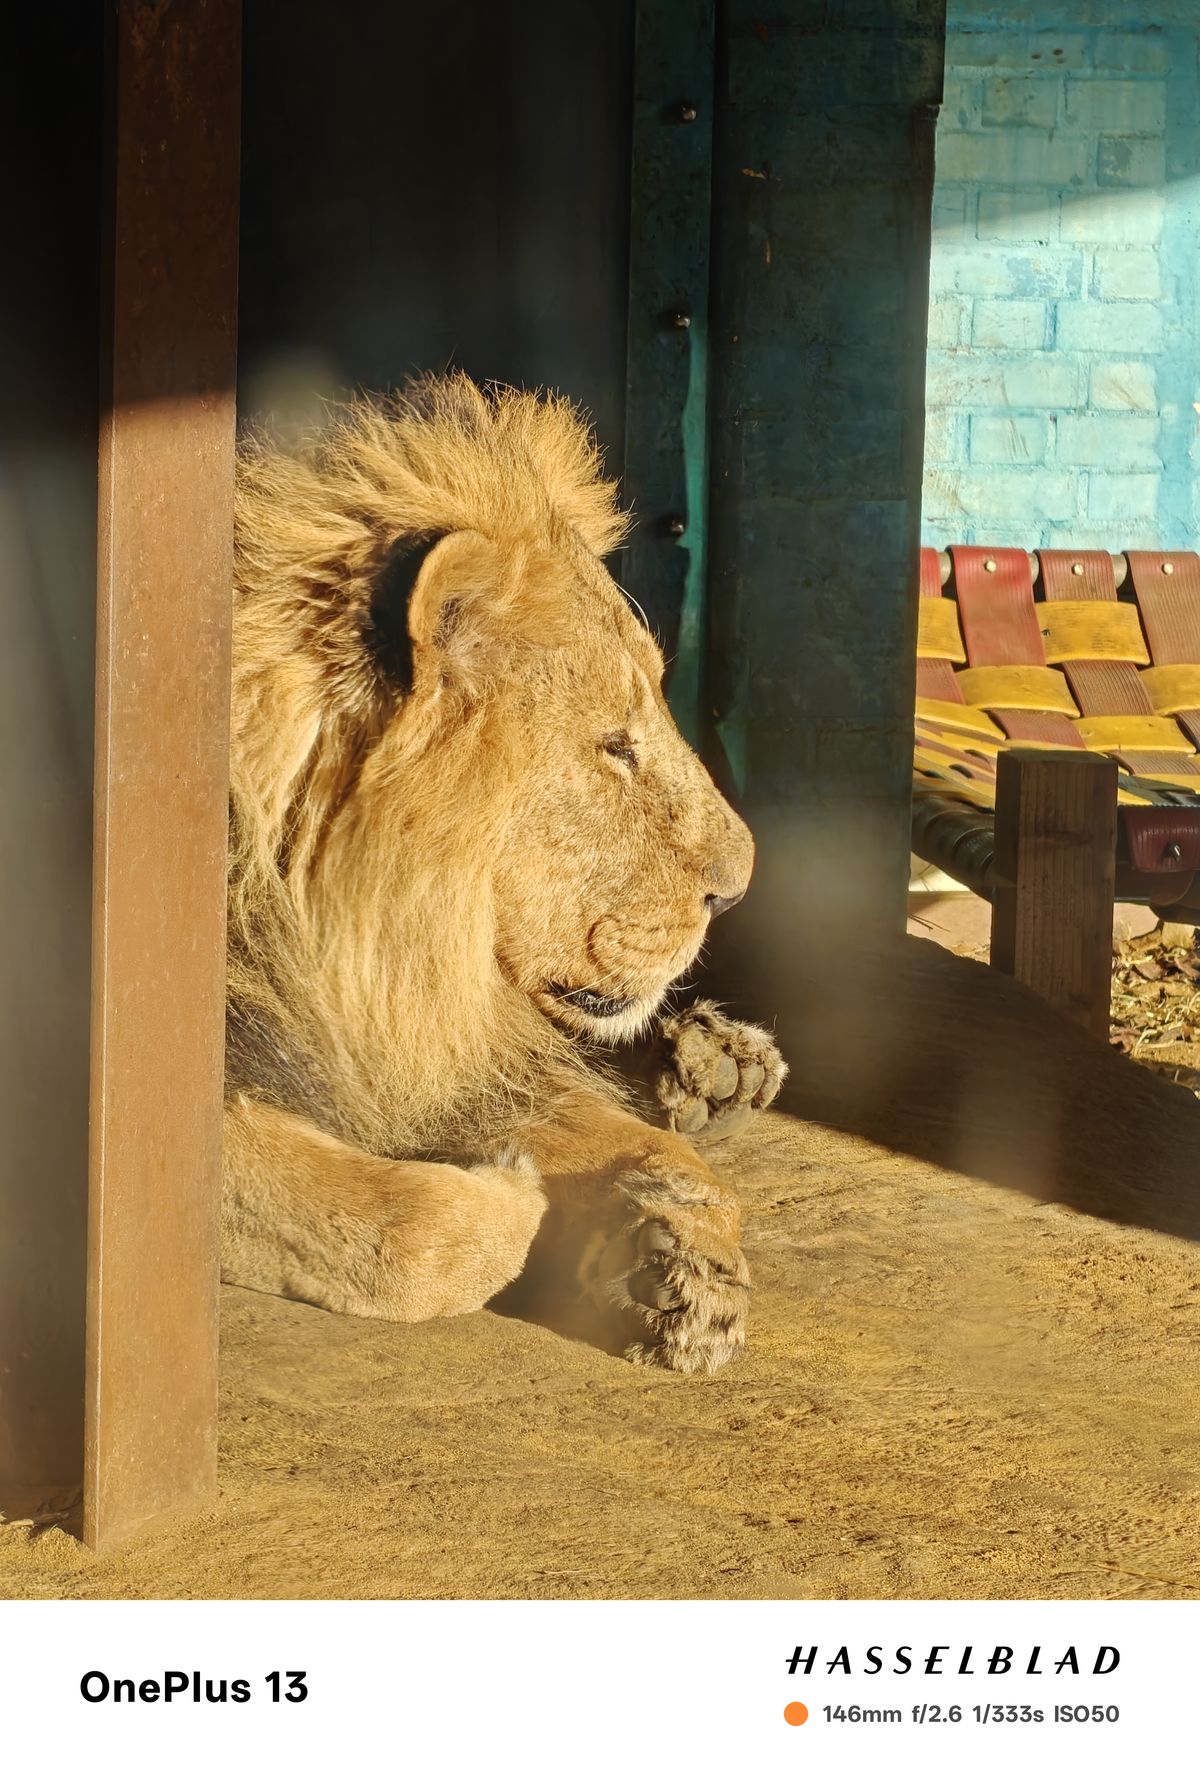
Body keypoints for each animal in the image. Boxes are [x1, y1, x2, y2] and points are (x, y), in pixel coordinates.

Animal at [223, 373, 786, 1373]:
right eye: (613, 746)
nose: (738, 887)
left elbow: (619, 1138)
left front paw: (687, 1260)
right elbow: (407, 1229)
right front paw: (515, 1194)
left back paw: (718, 1070)